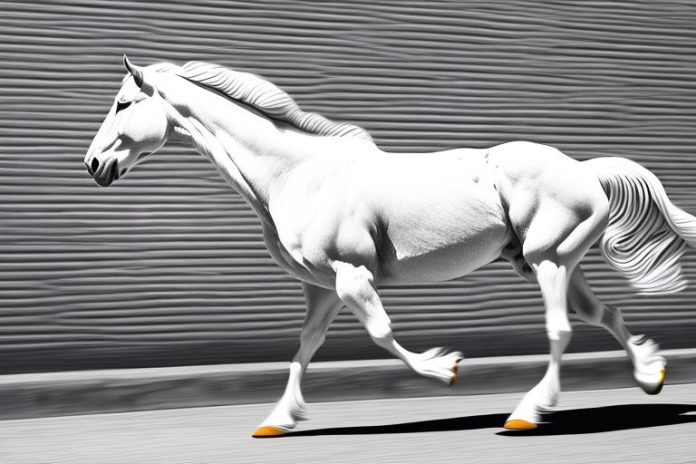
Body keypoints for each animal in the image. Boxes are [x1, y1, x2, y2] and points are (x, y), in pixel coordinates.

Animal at [85, 56, 694, 437]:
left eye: (122, 104)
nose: (93, 165)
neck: (298, 175)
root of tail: (587, 171)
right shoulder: (321, 288)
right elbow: (304, 347)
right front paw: (277, 421)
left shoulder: (352, 274)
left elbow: (381, 333)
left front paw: (446, 370)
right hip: (551, 262)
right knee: (603, 313)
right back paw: (650, 376)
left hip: (547, 263)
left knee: (562, 330)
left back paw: (527, 412)